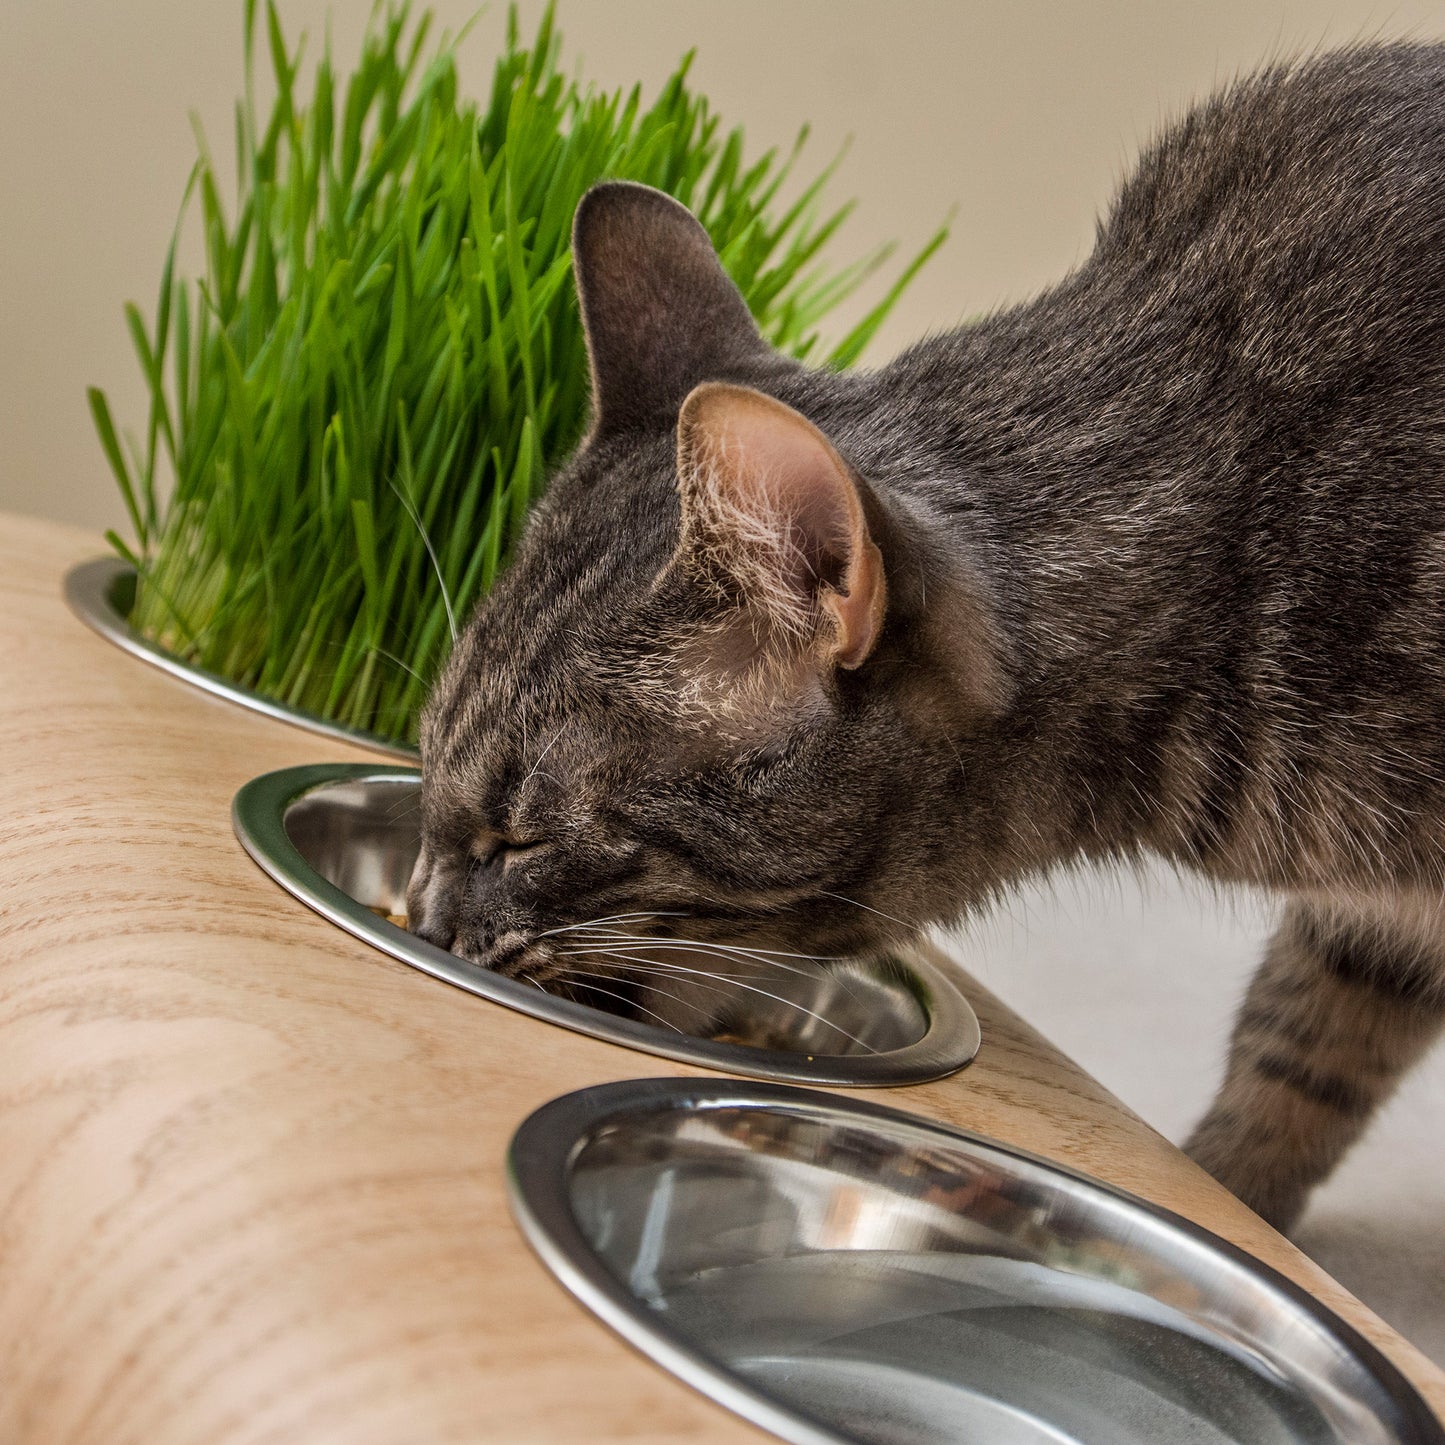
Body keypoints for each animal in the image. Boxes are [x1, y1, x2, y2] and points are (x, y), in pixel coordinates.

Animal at [404, 45, 1445, 1231]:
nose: (422, 920)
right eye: (426, 765)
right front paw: (1232, 1193)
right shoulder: (1367, 934)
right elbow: (1296, 1065)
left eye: (520, 839)